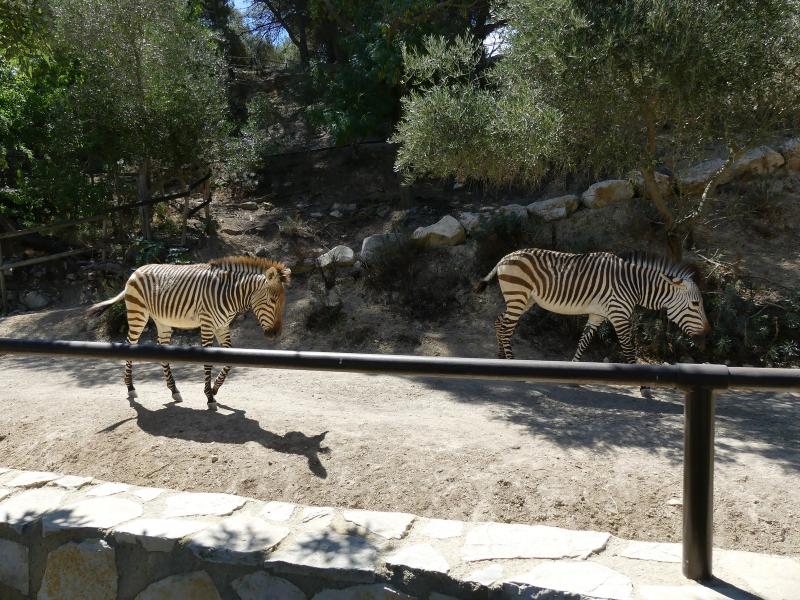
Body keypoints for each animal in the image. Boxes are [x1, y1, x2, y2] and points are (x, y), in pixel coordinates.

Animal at [87, 256, 291, 410]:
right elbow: (208, 362)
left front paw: (214, 389)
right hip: (137, 314)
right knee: (130, 344)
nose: (274, 334)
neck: (230, 294)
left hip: (162, 321)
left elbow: (229, 361)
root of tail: (136, 270)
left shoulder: (222, 326)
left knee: (161, 351)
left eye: (282, 302)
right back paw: (130, 387)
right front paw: (209, 397)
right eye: (273, 300)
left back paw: (174, 390)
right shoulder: (208, 324)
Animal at [475, 248, 710, 375]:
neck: (633, 286)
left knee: (499, 321)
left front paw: (574, 371)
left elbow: (583, 342)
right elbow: (629, 350)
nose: (707, 336)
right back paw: (511, 362)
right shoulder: (619, 316)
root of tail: (505, 257)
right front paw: (645, 388)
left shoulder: (598, 314)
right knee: (506, 328)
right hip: (518, 296)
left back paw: (500, 357)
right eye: (695, 305)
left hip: (524, 300)